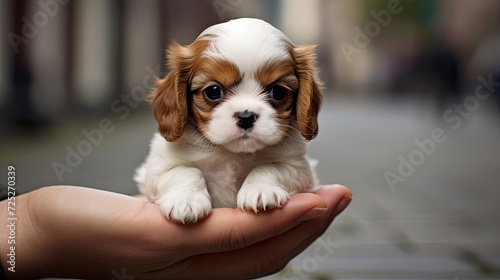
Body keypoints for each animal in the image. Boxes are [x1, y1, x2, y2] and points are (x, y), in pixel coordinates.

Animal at [136, 17, 324, 223]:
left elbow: (270, 167)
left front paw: (260, 190)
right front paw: (186, 200)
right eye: (213, 91)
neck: (232, 153)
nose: (245, 117)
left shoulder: (300, 169)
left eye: (278, 91)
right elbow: (184, 171)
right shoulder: (155, 170)